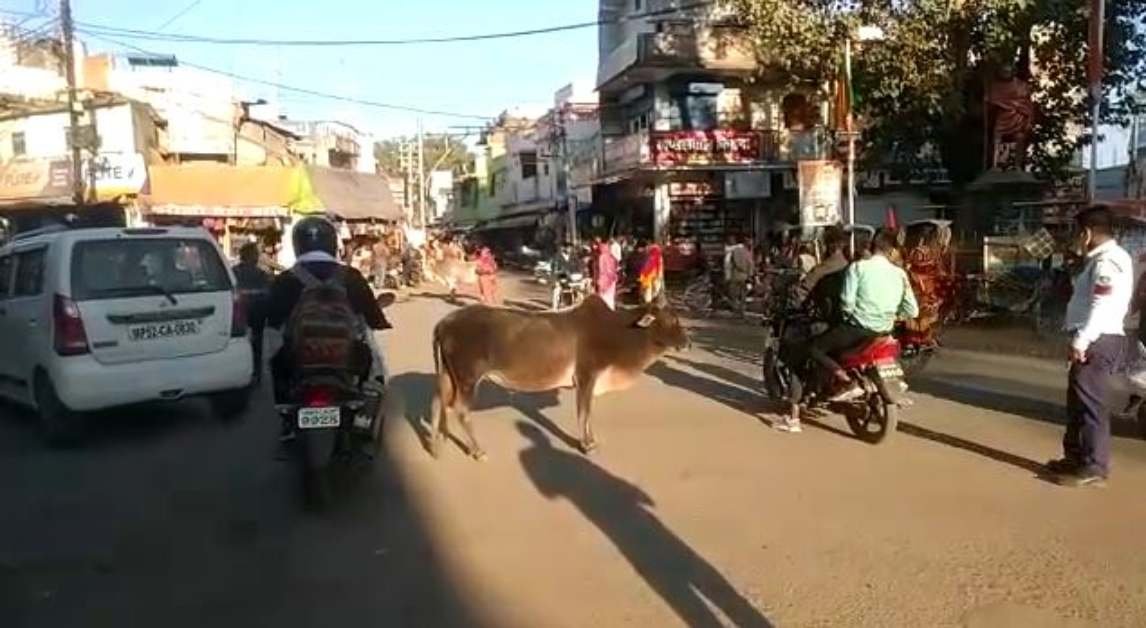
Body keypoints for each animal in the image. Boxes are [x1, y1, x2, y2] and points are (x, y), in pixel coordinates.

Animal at [430, 295, 690, 460]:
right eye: (671, 319)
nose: (687, 343)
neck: (619, 330)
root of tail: (442, 324)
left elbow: (588, 414)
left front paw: (591, 441)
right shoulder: (586, 376)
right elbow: (584, 413)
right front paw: (586, 445)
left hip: (448, 376)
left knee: (437, 403)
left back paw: (436, 444)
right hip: (467, 379)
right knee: (461, 410)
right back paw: (477, 451)